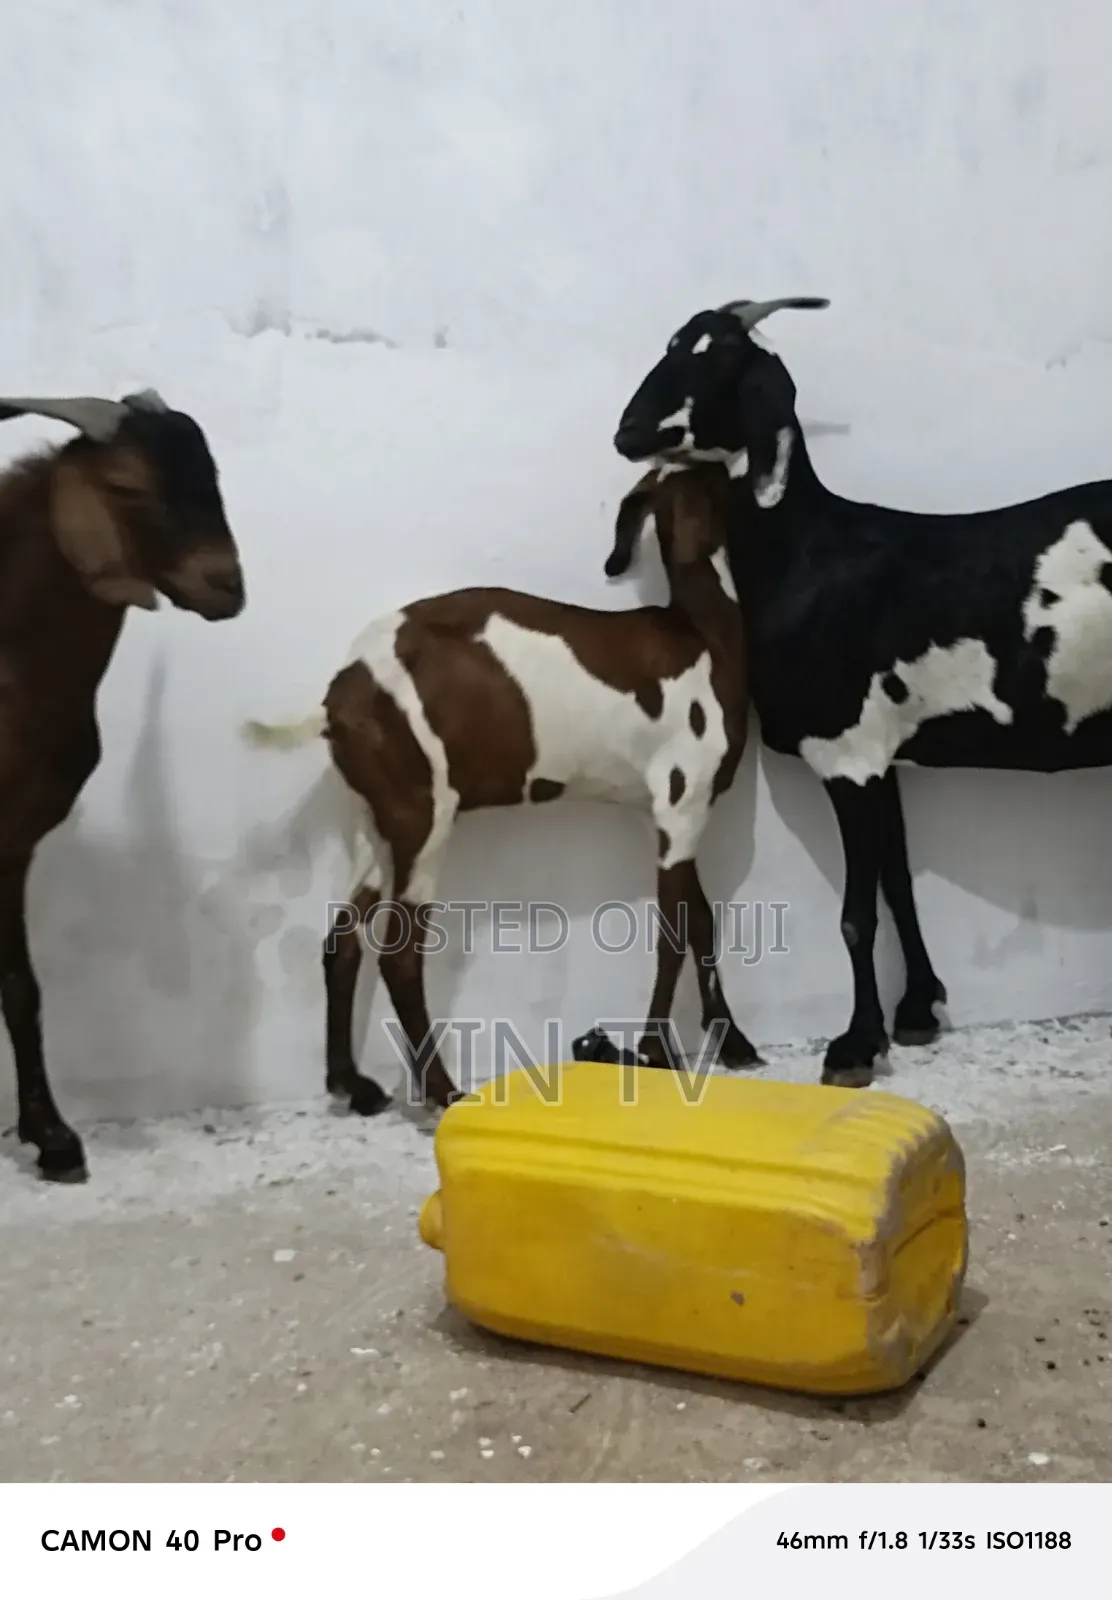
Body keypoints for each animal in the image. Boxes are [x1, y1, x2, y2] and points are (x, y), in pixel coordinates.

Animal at [0, 391, 245, 1181]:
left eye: (212, 473)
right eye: (127, 485)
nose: (226, 584)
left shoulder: (14, 846)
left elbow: (23, 988)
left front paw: (51, 1137)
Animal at [241, 464, 763, 1114]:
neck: (700, 634)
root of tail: (339, 700)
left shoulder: (669, 816)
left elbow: (701, 921)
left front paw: (735, 1042)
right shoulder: (681, 799)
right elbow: (673, 933)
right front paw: (653, 1054)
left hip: (375, 822)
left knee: (343, 941)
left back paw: (353, 1085)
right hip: (423, 819)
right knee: (399, 955)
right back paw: (442, 1090)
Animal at [613, 292, 1112, 1087]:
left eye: (718, 360)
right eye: (672, 344)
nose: (626, 432)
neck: (809, 553)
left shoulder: (846, 752)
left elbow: (856, 913)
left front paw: (855, 1044)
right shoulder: (884, 753)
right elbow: (898, 883)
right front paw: (915, 1013)